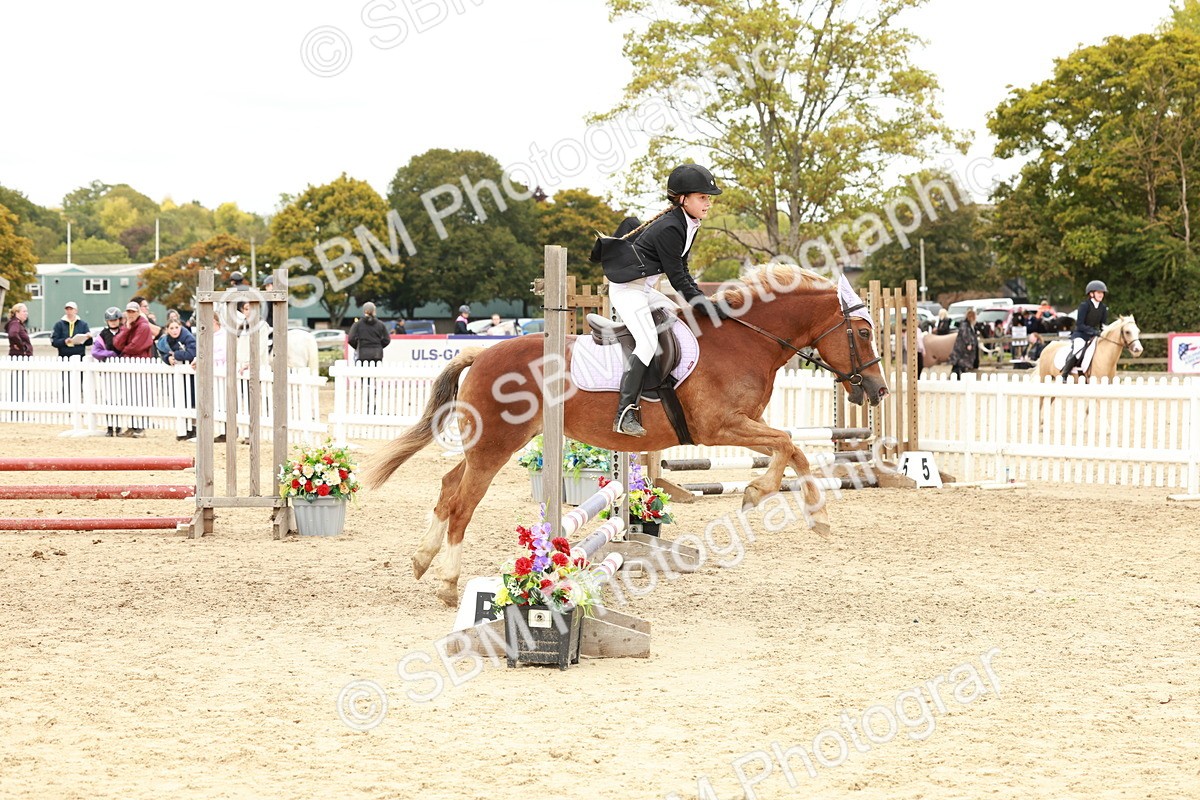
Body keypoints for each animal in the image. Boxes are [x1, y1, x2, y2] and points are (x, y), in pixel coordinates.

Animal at [364, 264, 890, 605]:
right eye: (863, 333)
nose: (879, 390)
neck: (746, 340)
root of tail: (483, 353)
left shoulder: (740, 425)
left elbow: (792, 450)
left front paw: (804, 511)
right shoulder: (719, 426)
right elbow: (787, 443)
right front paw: (767, 497)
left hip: (491, 443)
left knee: (449, 485)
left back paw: (422, 559)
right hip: (497, 444)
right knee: (462, 503)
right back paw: (449, 584)